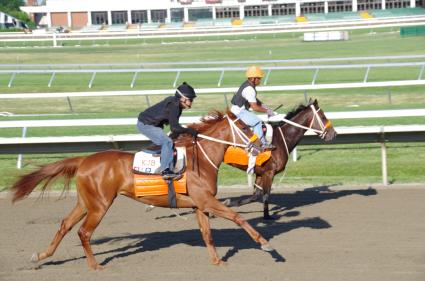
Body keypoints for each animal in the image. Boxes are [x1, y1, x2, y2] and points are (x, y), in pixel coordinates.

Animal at [10, 109, 272, 270]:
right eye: (246, 128)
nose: (263, 146)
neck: (201, 158)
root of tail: (84, 160)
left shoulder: (200, 205)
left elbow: (207, 234)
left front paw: (218, 262)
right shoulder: (207, 201)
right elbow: (237, 217)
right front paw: (264, 242)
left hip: (86, 202)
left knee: (65, 225)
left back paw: (41, 256)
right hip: (100, 205)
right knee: (84, 232)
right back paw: (94, 266)